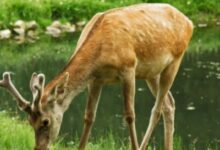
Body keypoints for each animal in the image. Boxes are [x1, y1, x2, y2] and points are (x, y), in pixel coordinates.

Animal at [0, 3, 192, 150]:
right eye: (29, 121)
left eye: (45, 122)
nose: (39, 147)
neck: (101, 52)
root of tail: (189, 22)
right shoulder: (95, 80)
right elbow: (89, 117)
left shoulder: (128, 68)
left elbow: (129, 115)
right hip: (151, 73)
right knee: (169, 104)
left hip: (175, 59)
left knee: (157, 109)